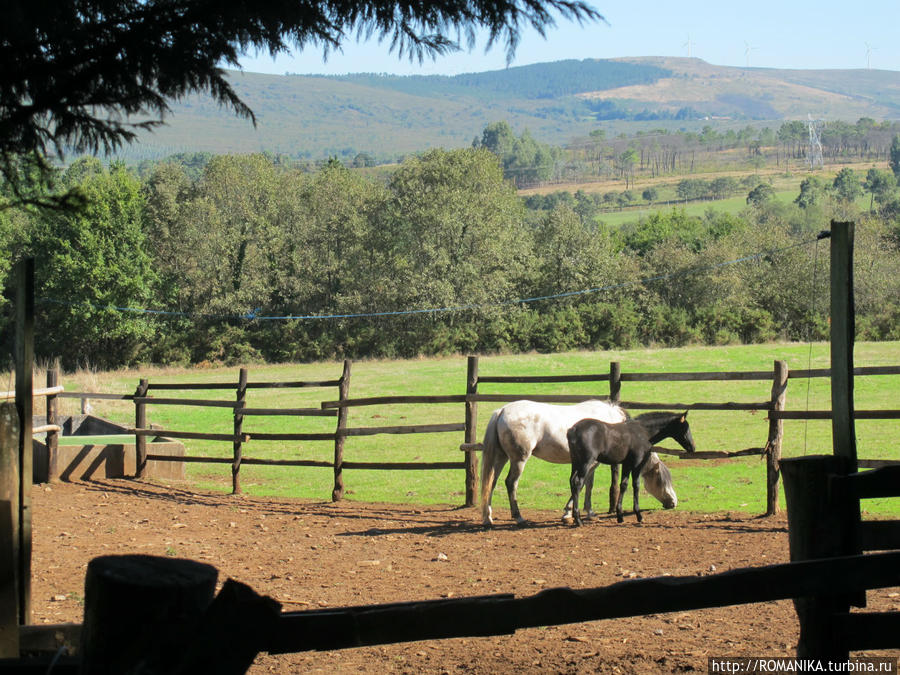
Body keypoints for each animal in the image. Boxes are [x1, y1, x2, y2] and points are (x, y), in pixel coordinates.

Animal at [478, 402, 676, 528]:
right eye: (660, 479)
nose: (673, 502)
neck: (616, 427)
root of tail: (502, 410)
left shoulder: (589, 463)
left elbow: (586, 485)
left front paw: (583, 512)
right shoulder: (591, 463)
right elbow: (583, 485)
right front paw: (572, 513)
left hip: (502, 457)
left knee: (491, 483)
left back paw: (488, 517)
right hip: (519, 459)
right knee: (511, 483)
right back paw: (518, 517)